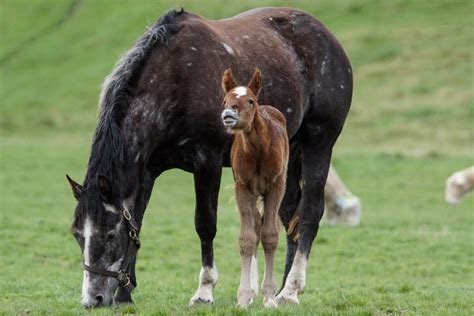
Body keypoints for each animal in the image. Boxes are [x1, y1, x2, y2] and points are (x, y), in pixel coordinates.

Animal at [219, 68, 288, 308]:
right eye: (225, 100)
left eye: (250, 101)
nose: (228, 114)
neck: (258, 150)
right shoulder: (243, 187)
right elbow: (247, 239)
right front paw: (243, 297)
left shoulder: (276, 186)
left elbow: (271, 236)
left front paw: (270, 297)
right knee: (256, 226)